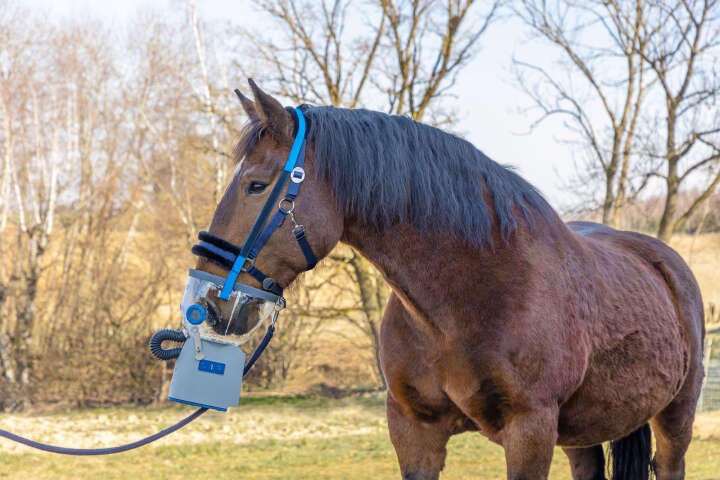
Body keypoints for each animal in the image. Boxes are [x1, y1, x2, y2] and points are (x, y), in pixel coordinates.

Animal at [198, 78, 705, 480]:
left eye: (256, 185)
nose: (210, 300)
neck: (466, 300)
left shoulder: (531, 431)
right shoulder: (414, 431)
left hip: (674, 417)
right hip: (582, 433)